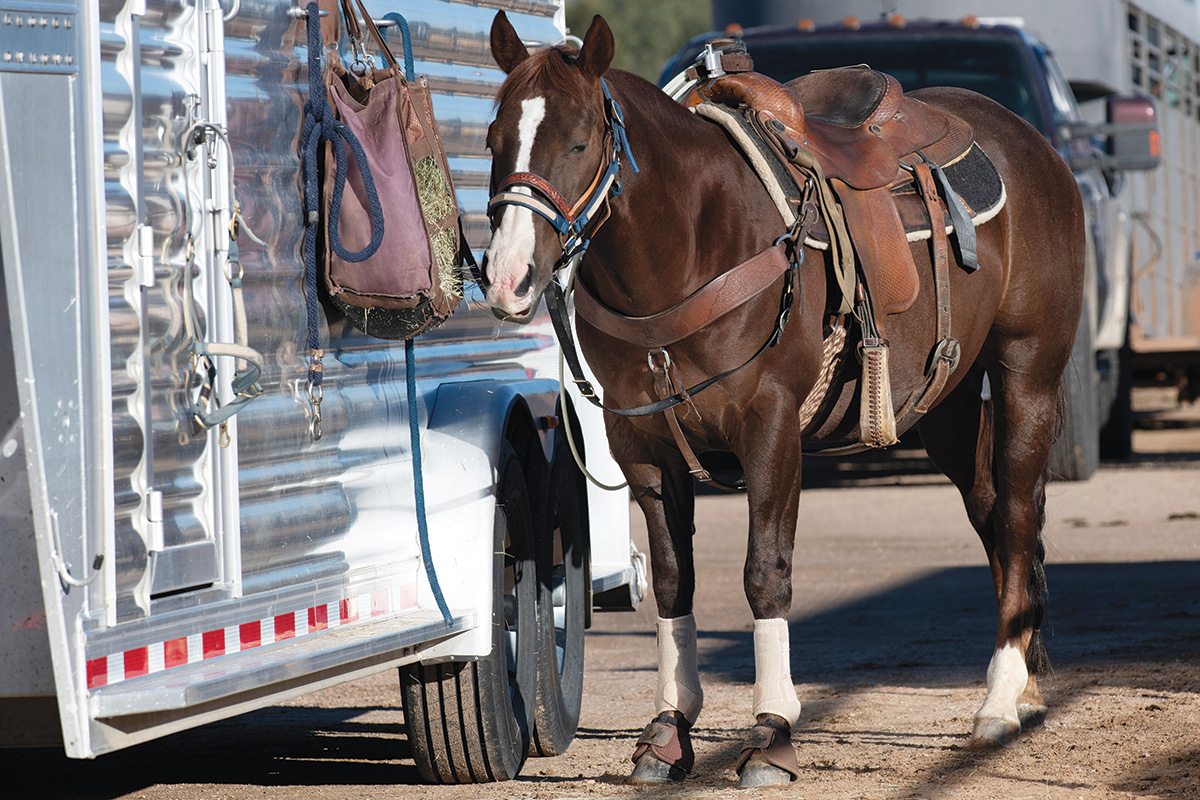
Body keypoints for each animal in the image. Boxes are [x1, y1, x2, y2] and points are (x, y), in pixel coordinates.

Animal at [480, 10, 1089, 786]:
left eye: (579, 140)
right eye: (495, 140)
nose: (509, 278)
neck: (693, 244)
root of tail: (1034, 146)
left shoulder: (769, 428)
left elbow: (765, 574)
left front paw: (771, 732)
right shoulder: (643, 446)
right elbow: (674, 581)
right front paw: (669, 730)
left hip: (1026, 375)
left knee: (1013, 516)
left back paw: (1001, 700)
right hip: (945, 403)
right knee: (993, 514)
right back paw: (1026, 686)